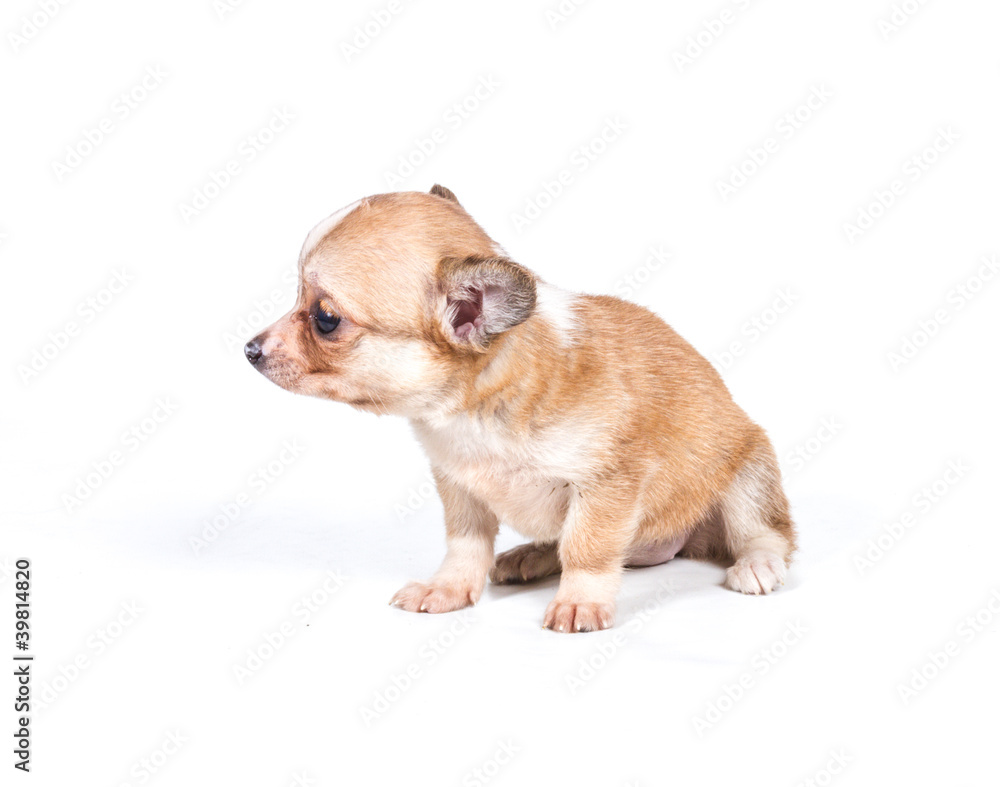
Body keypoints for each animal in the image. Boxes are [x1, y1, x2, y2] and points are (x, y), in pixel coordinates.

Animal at [246, 186, 792, 636]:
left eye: (325, 319)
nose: (250, 349)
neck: (473, 411)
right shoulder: (459, 486)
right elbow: (466, 545)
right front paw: (448, 588)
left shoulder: (606, 483)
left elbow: (588, 548)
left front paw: (580, 601)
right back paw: (532, 555)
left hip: (748, 476)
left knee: (768, 533)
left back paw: (757, 564)